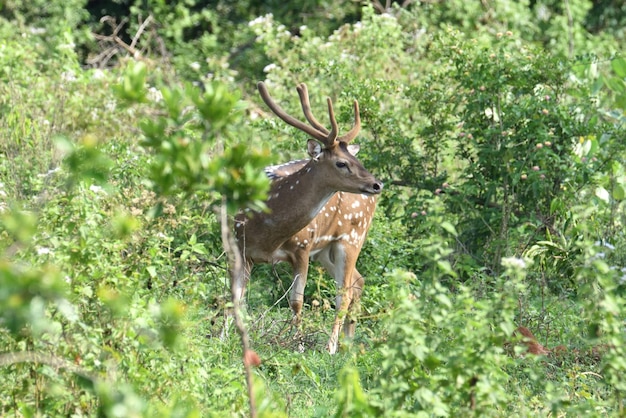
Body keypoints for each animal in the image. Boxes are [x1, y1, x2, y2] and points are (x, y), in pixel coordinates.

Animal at [233, 81, 380, 352]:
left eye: (355, 159)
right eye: (342, 163)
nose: (377, 184)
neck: (268, 232)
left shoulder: (303, 247)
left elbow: (296, 301)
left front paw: (299, 345)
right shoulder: (240, 246)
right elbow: (236, 296)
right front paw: (226, 337)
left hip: (352, 237)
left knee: (344, 293)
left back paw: (332, 347)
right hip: (326, 249)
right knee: (358, 282)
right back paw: (348, 346)